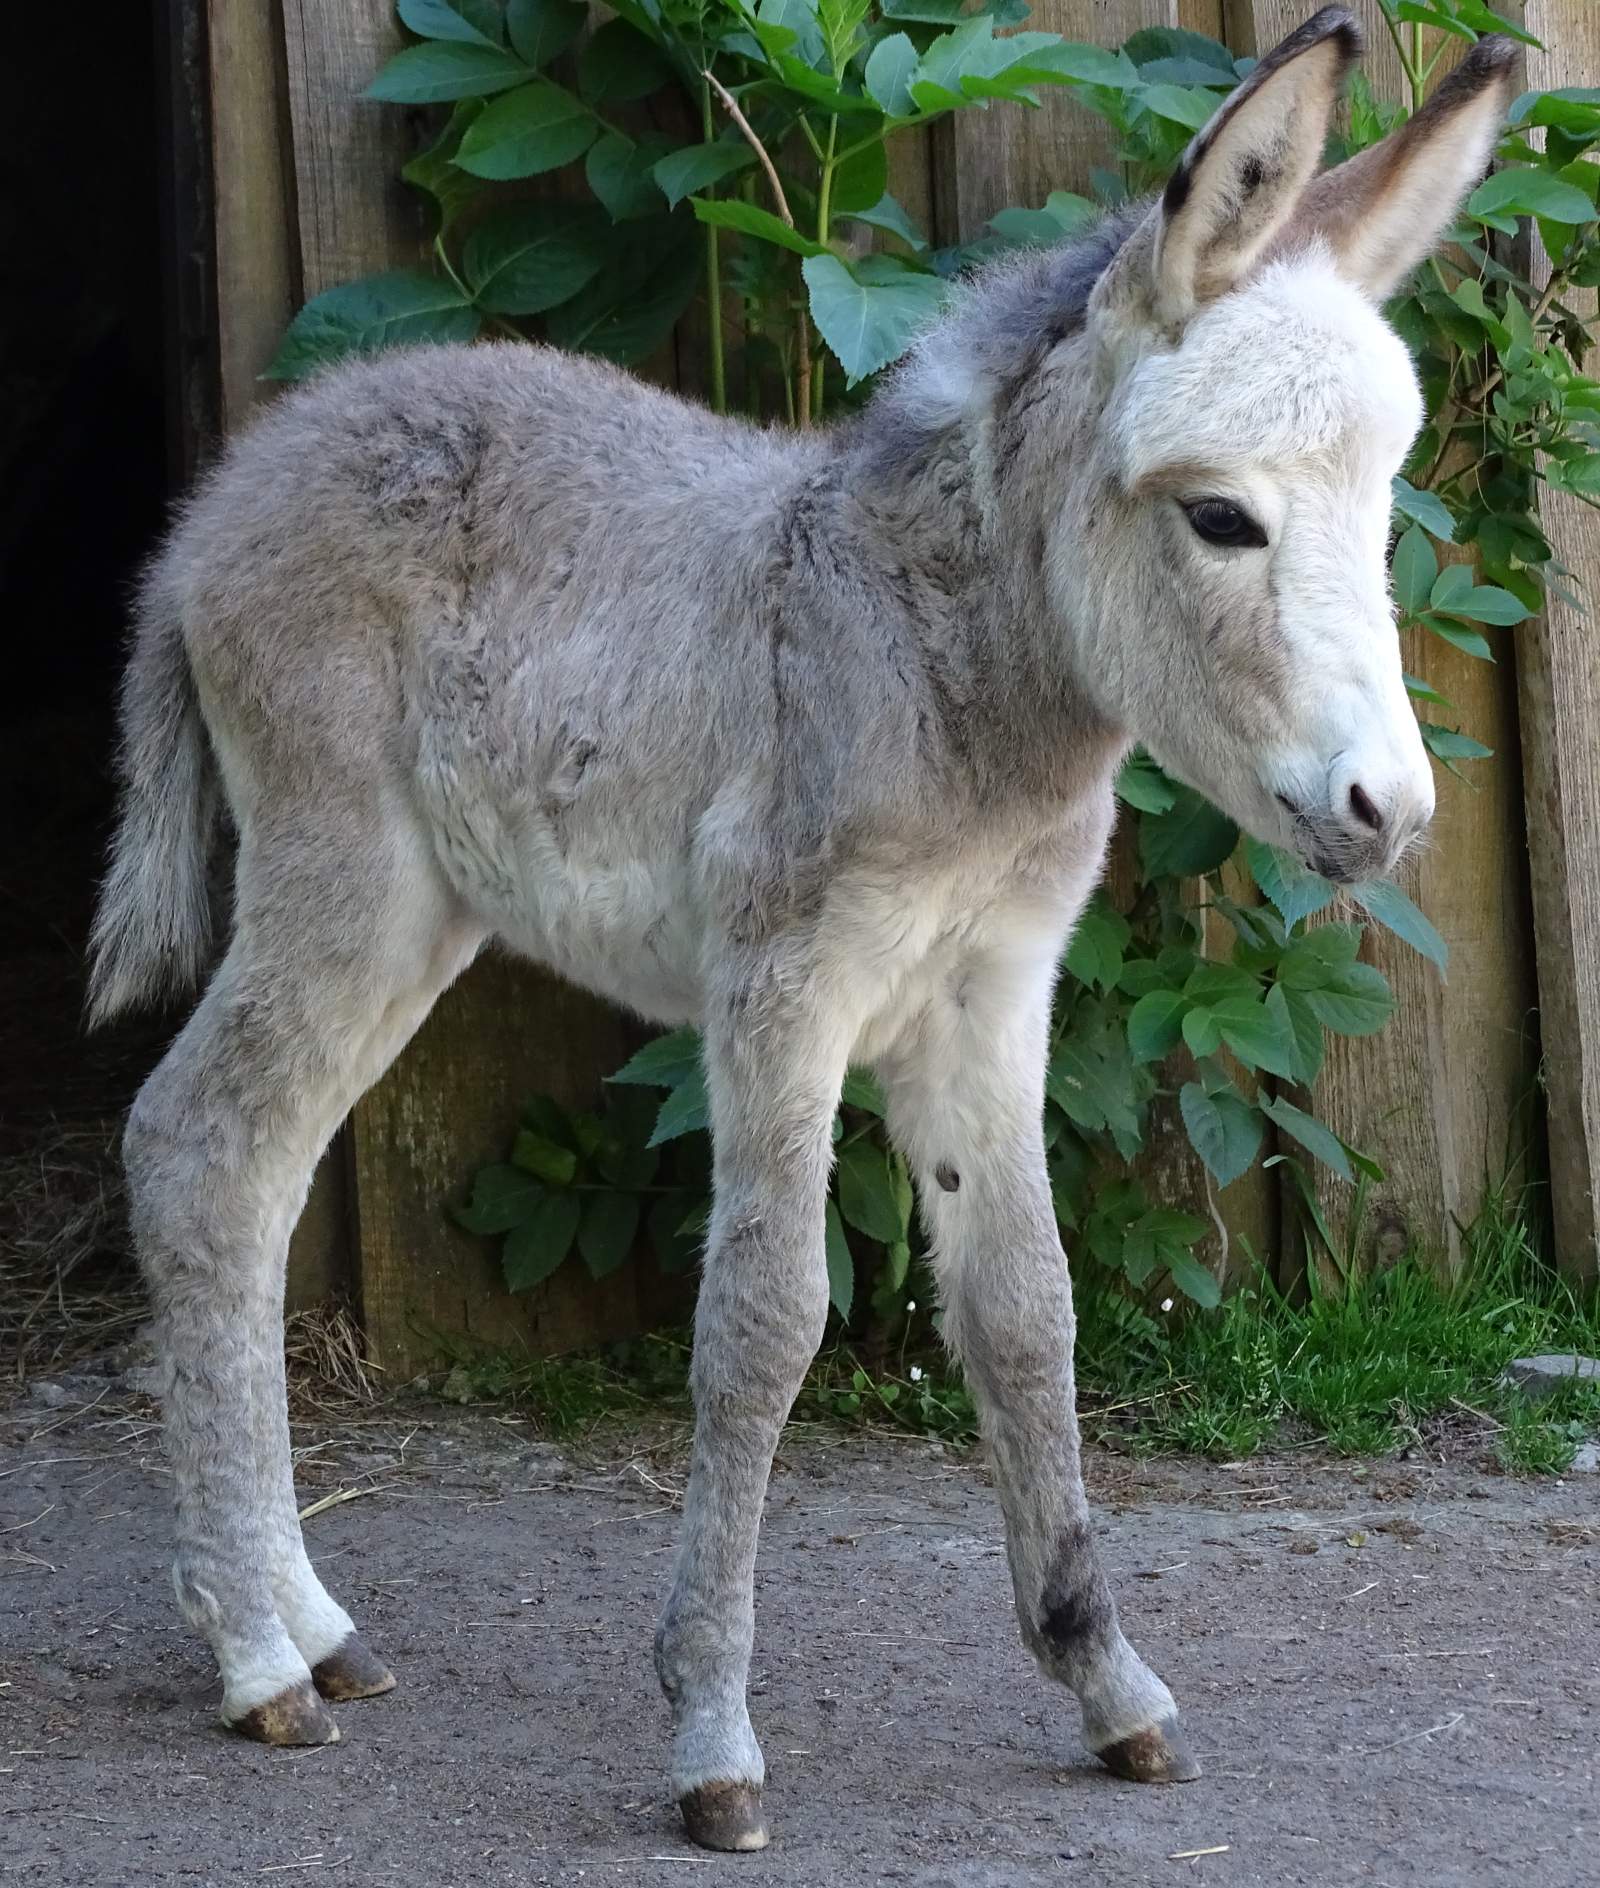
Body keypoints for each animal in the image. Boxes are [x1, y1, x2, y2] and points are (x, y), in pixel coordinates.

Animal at [93, 7, 1518, 1850]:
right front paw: (711, 1732)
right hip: (344, 881)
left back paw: (305, 1623)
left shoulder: (991, 996)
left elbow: (1025, 1310)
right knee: (196, 1149)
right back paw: (256, 1659)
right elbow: (767, 1322)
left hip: (415, 924)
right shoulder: (782, 989)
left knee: (254, 1172)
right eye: (1221, 517)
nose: (1388, 813)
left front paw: (1107, 1682)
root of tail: (230, 490)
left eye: (1385, 505)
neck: (954, 673)